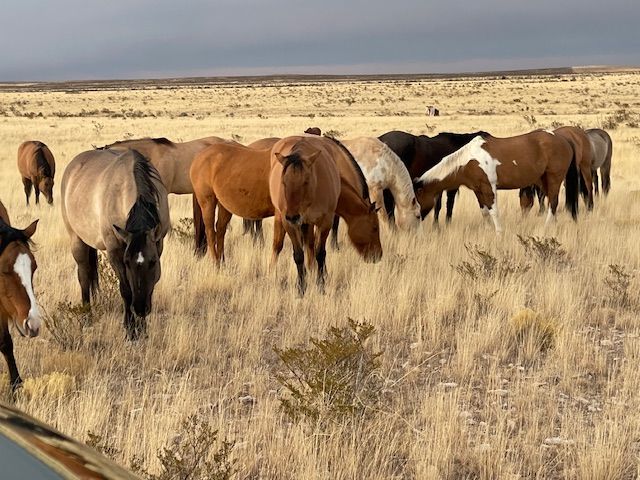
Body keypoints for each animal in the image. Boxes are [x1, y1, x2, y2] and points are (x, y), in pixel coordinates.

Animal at [61, 149, 170, 340]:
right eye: (127, 262)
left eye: (153, 262)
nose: (140, 309)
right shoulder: (115, 252)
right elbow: (126, 290)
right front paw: (130, 330)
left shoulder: (158, 245)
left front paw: (143, 330)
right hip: (77, 241)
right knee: (83, 276)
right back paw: (87, 318)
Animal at [269, 136, 341, 296]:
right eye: (283, 182)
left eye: (306, 181)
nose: (293, 216)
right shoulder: (288, 223)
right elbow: (298, 255)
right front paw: (301, 288)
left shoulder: (325, 221)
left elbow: (320, 253)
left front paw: (321, 285)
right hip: (285, 219)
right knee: (278, 245)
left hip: (308, 223)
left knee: (311, 247)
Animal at [413, 130, 578, 233]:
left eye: (416, 200)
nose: (415, 220)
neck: (470, 160)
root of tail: (564, 139)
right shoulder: (478, 190)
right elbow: (484, 211)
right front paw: (487, 230)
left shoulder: (489, 187)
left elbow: (493, 211)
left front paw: (499, 232)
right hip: (543, 180)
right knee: (552, 202)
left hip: (554, 178)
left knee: (553, 202)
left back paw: (547, 226)